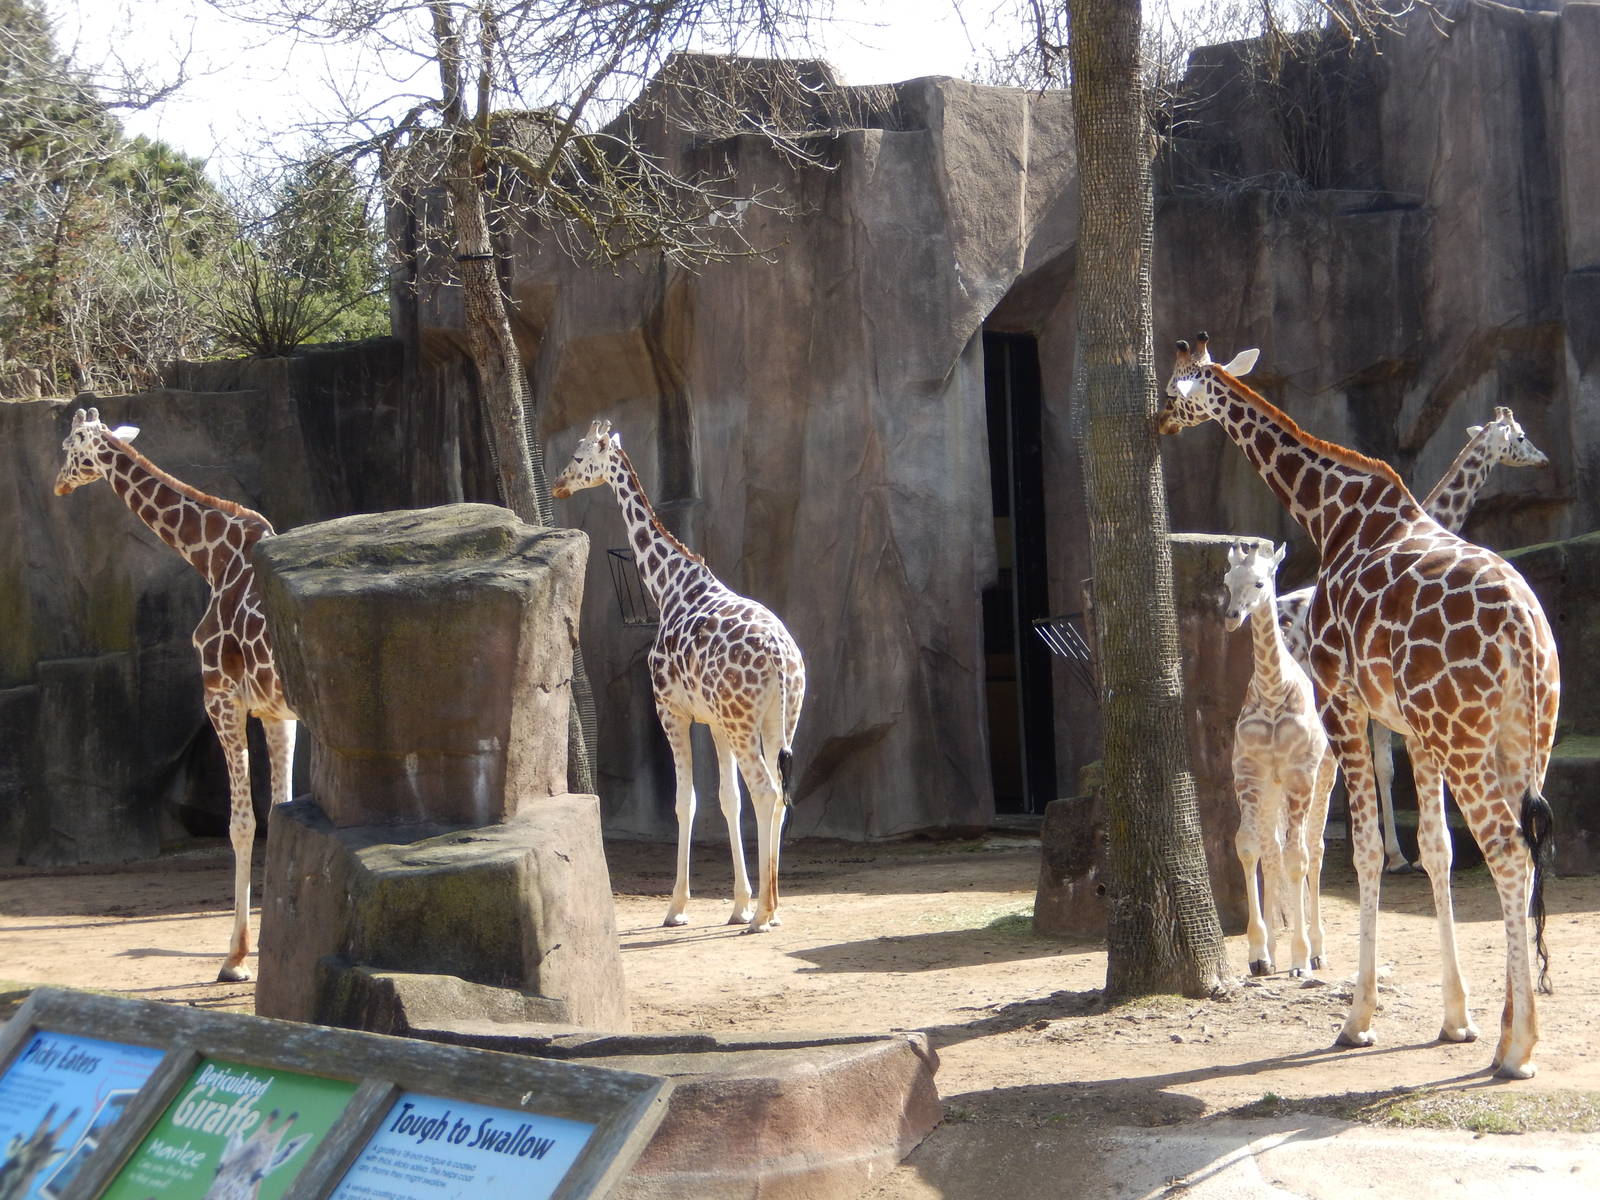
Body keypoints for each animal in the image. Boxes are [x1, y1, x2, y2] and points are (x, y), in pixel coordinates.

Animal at [54, 408, 296, 983]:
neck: (212, 559)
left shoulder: (222, 696)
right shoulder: (275, 712)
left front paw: (235, 960)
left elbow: (242, 823)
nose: (57, 484)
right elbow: (280, 814)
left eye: (68, 446)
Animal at [552, 419, 805, 933]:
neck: (670, 587)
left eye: (580, 455)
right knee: (778, 794)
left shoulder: (672, 711)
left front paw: (677, 907)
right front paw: (737, 903)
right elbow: (728, 799)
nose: (558, 484)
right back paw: (770, 909)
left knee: (767, 790)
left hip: (746, 722)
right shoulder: (717, 724)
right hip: (778, 720)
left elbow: (684, 801)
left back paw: (762, 916)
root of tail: (779, 654)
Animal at [1221, 541, 1336, 978]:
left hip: (1324, 777)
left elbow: (1297, 856)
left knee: (1314, 850)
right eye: (1226, 582)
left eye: (1259, 582)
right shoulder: (1249, 774)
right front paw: (1259, 952)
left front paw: (1301, 957)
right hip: (1274, 788)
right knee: (1273, 848)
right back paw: (1273, 948)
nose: (1233, 617)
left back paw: (1318, 951)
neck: (1272, 690)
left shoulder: (1300, 774)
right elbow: (1250, 847)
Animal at [1275, 405, 1550, 872]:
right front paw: (1400, 856)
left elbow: (1383, 767)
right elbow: (1386, 767)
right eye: (1521, 435)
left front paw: (1400, 853)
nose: (1543, 459)